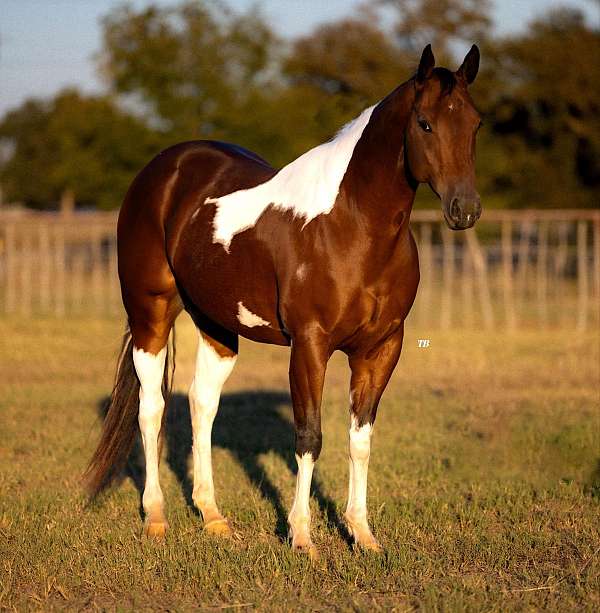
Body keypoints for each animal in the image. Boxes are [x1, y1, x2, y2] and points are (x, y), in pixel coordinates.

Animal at [85, 45, 482, 556]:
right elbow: (310, 437)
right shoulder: (309, 346)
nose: (464, 209)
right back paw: (156, 517)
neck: (352, 224)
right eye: (425, 123)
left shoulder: (381, 349)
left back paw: (213, 516)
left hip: (216, 325)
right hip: (149, 314)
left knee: (201, 404)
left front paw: (362, 535)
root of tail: (162, 169)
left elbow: (360, 439)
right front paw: (303, 537)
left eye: (475, 123)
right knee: (151, 407)